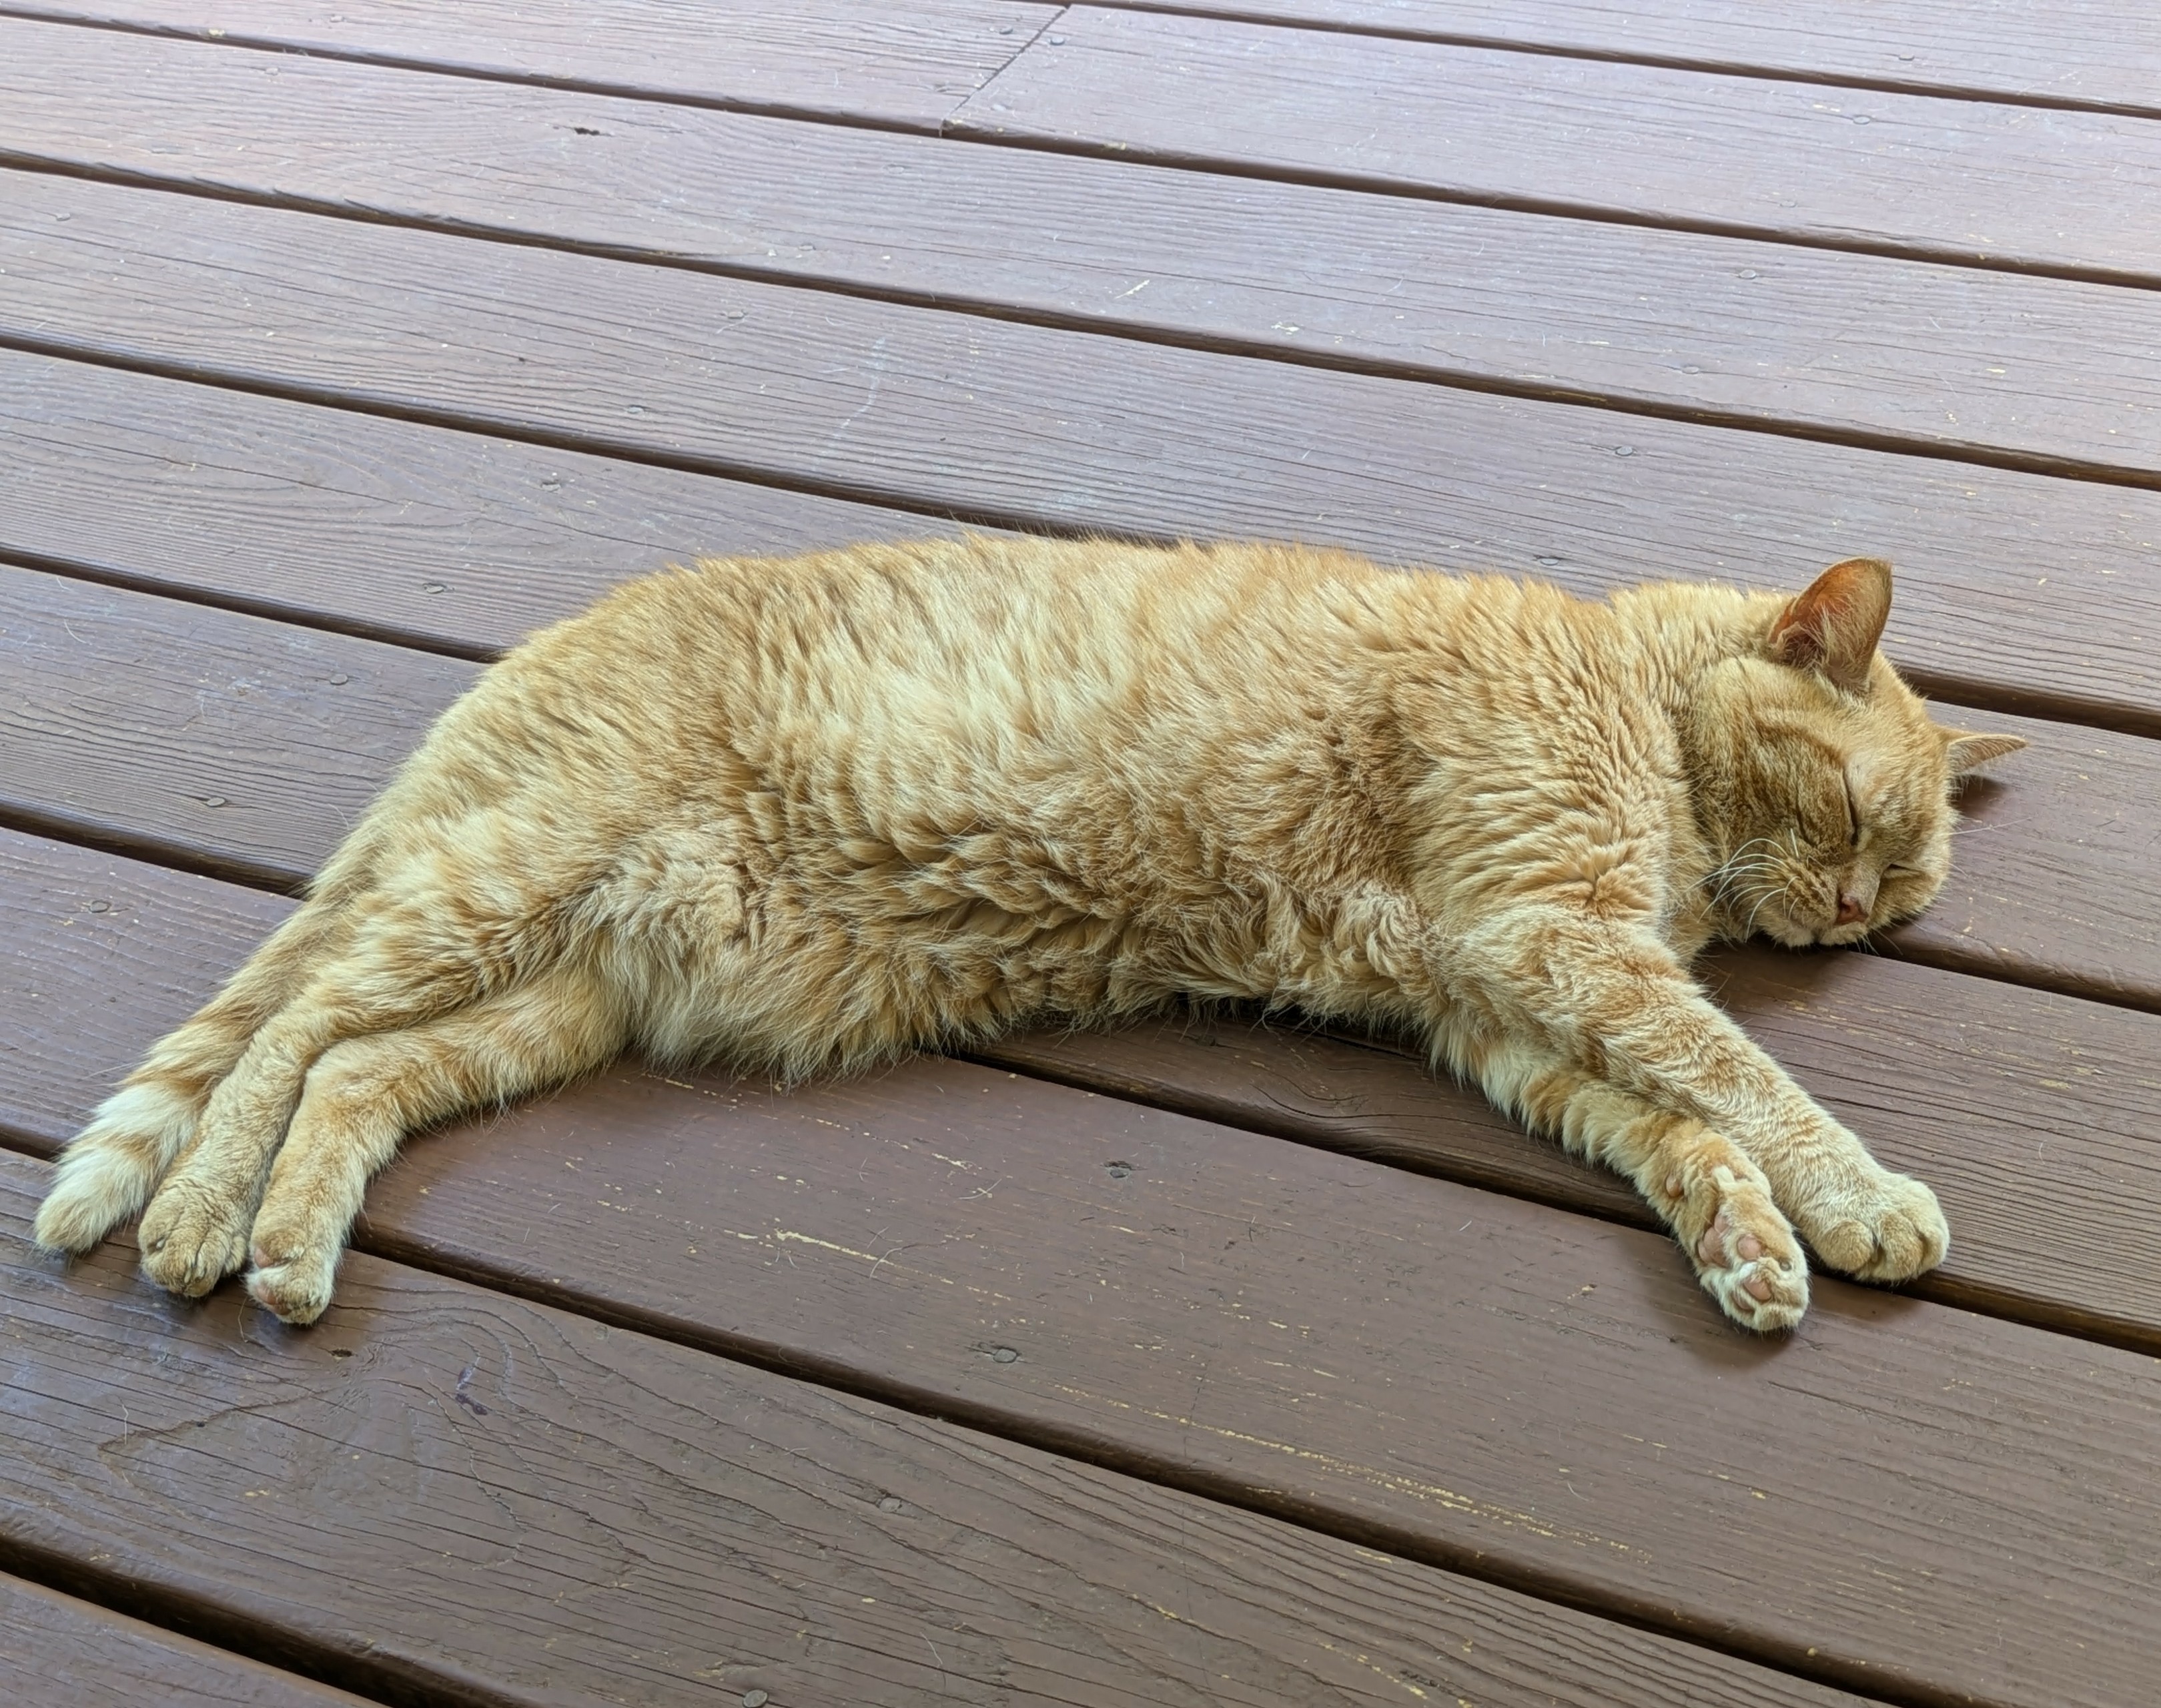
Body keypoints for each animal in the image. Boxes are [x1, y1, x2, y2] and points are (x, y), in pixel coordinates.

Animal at [33, 542, 2022, 1332]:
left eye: (1901, 888)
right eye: (1859, 829)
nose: (1850, 917)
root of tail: (536, 650)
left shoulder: (1505, 1006)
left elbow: (1674, 1128)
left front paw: (1748, 1248)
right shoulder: (1551, 940)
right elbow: (1738, 1081)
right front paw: (1855, 1198)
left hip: (560, 990)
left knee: (354, 1068)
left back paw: (287, 1242)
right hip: (501, 880)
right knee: (288, 1031)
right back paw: (201, 1219)